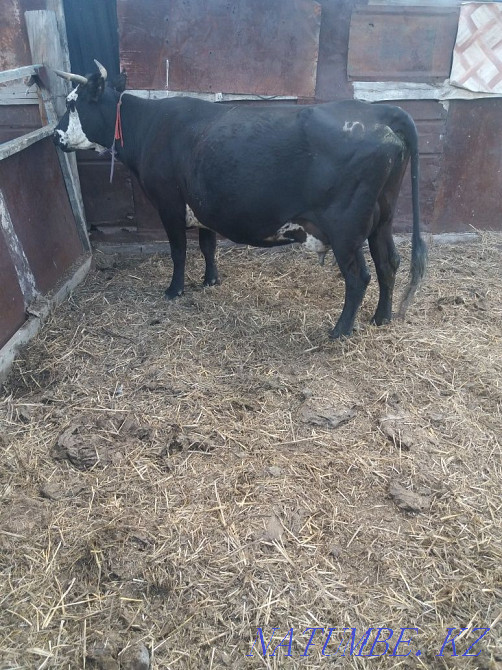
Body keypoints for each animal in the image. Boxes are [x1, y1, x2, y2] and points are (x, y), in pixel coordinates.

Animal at [53, 60, 426, 339]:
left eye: (72, 103)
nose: (56, 136)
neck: (149, 126)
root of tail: (379, 114)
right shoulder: (202, 204)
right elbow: (207, 245)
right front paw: (210, 280)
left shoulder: (169, 204)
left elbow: (178, 251)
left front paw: (174, 290)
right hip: (382, 218)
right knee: (389, 262)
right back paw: (381, 318)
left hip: (346, 229)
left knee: (359, 276)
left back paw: (340, 331)